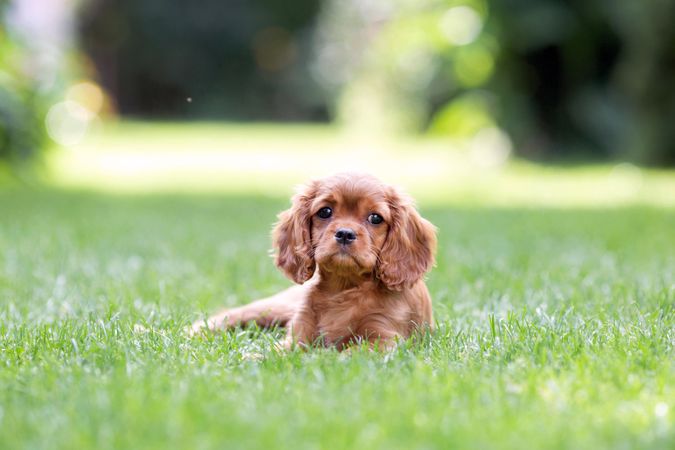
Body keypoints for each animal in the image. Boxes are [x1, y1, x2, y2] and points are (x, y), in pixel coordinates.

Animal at [193, 171, 438, 348]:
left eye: (375, 218)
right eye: (325, 212)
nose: (345, 233)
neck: (344, 288)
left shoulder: (385, 338)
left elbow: (349, 353)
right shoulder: (298, 335)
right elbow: (276, 352)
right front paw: (253, 358)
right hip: (274, 308)